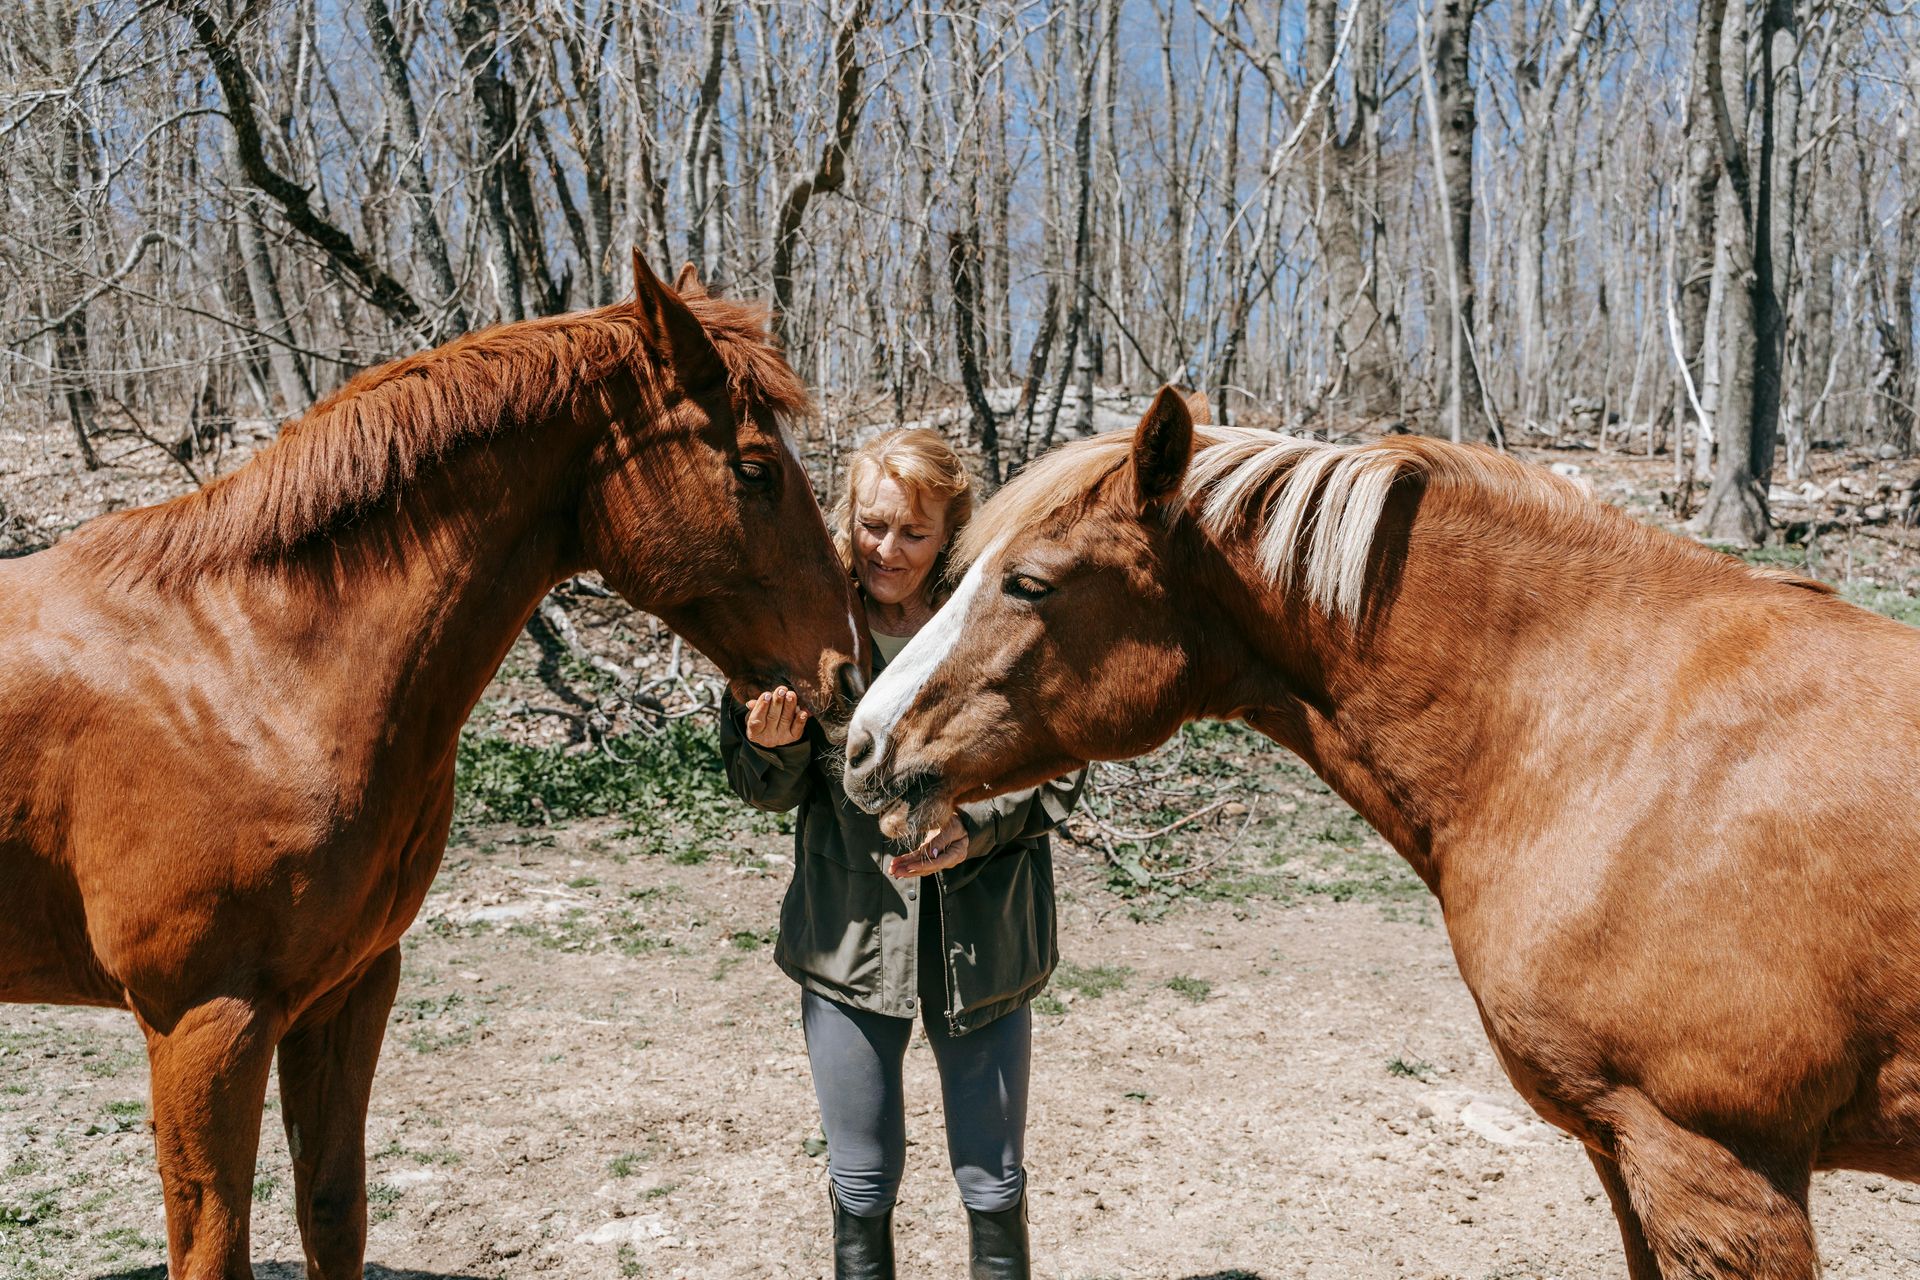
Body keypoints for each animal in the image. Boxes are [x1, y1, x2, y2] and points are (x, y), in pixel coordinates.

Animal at [0, 255, 864, 1274]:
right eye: (755, 471)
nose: (846, 673)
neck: (246, 672)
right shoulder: (203, 1022)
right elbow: (214, 1246)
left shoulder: (349, 991)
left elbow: (335, 1211)